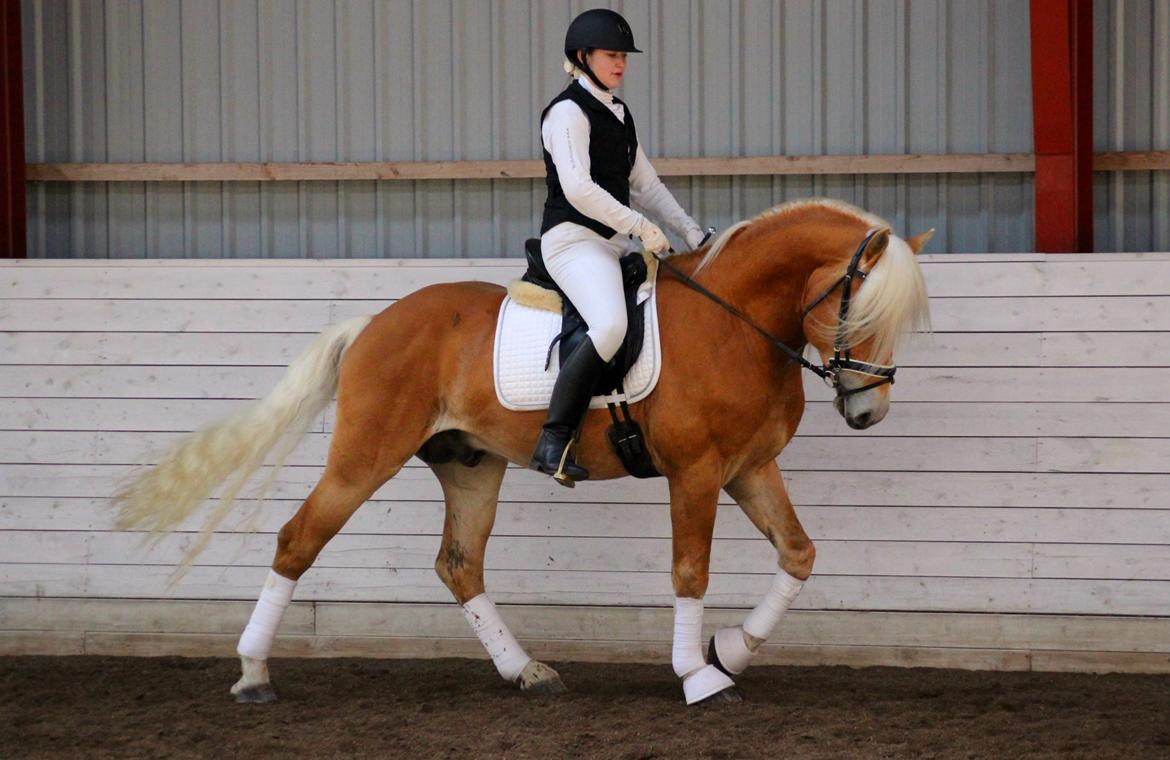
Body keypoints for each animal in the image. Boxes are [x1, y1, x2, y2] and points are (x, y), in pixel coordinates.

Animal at [113, 198, 932, 706]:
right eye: (860, 311)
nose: (868, 411)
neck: (735, 323)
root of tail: (373, 324)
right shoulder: (696, 475)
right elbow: (690, 572)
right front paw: (698, 676)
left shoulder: (748, 469)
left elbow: (798, 554)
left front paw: (731, 649)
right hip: (363, 458)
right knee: (297, 540)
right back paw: (253, 673)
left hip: (470, 466)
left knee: (459, 564)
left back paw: (527, 671)